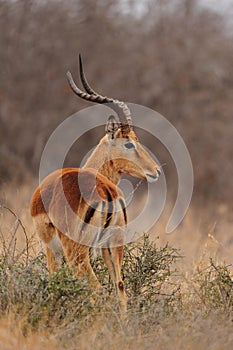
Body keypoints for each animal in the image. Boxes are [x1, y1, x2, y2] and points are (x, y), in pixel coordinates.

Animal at [30, 56, 161, 314]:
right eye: (129, 143)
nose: (156, 170)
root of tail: (107, 191)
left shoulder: (52, 248)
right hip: (113, 246)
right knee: (120, 290)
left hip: (77, 250)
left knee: (96, 288)